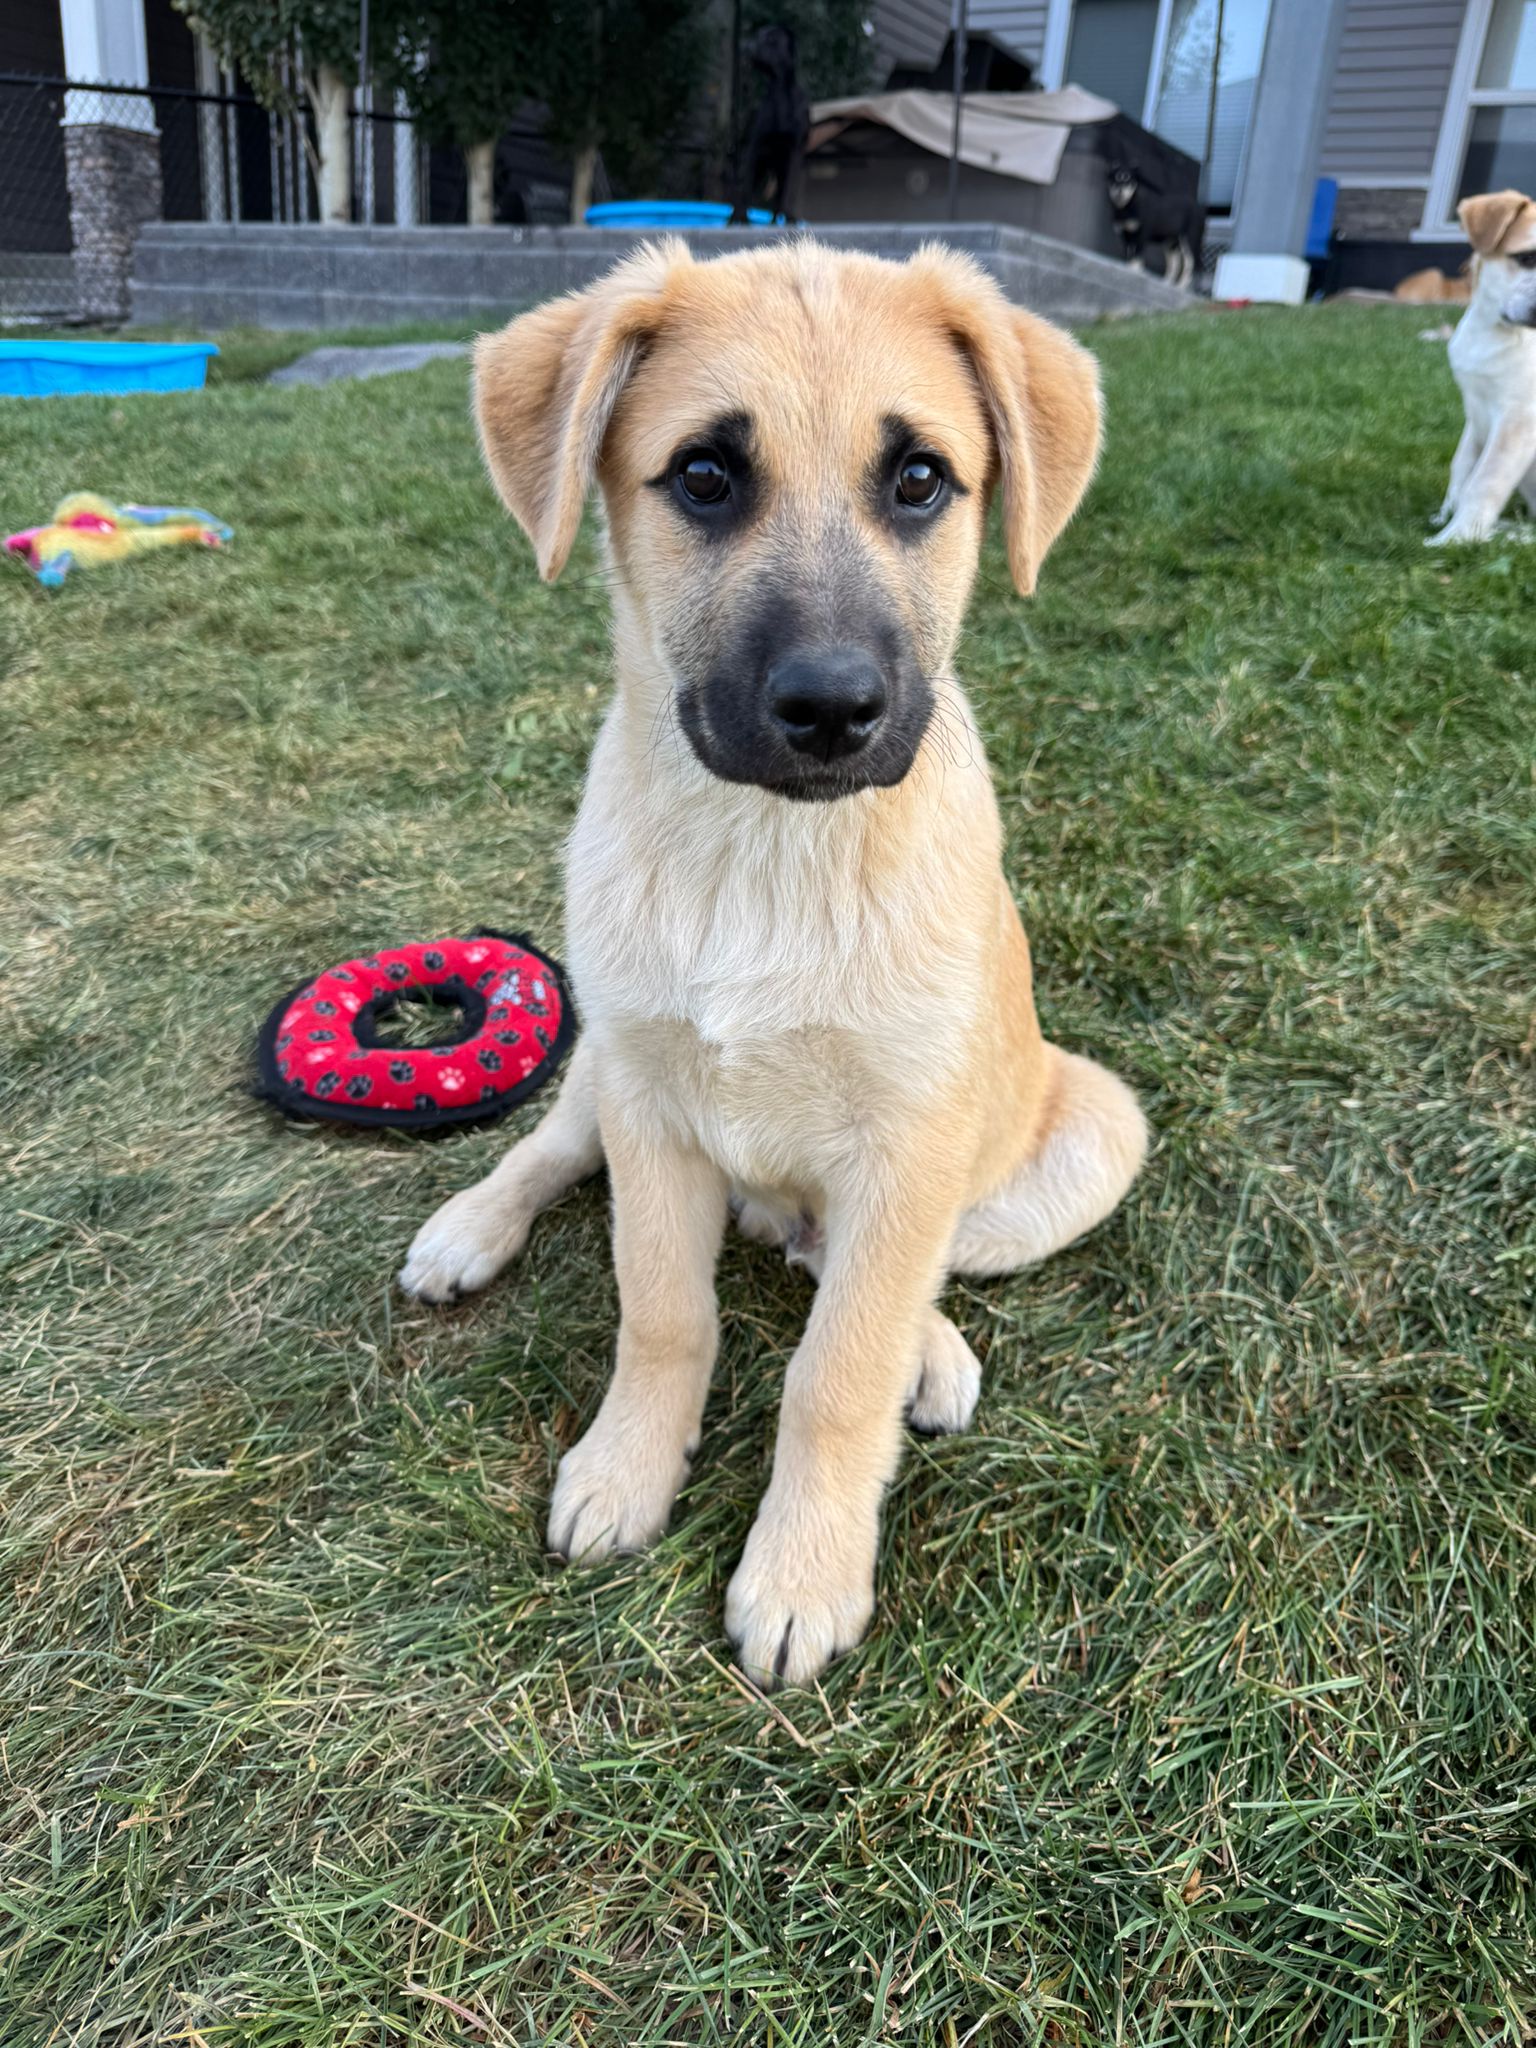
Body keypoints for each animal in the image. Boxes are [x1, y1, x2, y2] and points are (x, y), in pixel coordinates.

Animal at [399, 239, 1148, 1688]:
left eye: (920, 479)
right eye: (704, 474)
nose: (832, 709)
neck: (770, 857)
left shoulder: (906, 1145)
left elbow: (835, 1369)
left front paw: (803, 1568)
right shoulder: (651, 1106)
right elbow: (663, 1311)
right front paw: (626, 1469)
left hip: (1088, 1131)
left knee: (890, 1273)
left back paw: (927, 1348)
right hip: (603, 1067)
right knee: (549, 1151)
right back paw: (468, 1229)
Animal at [1429, 189, 1536, 546]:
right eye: (1527, 258)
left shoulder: (1518, 421)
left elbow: (1485, 480)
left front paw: (1456, 538)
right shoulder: (1476, 413)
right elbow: (1462, 468)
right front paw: (1445, 517)